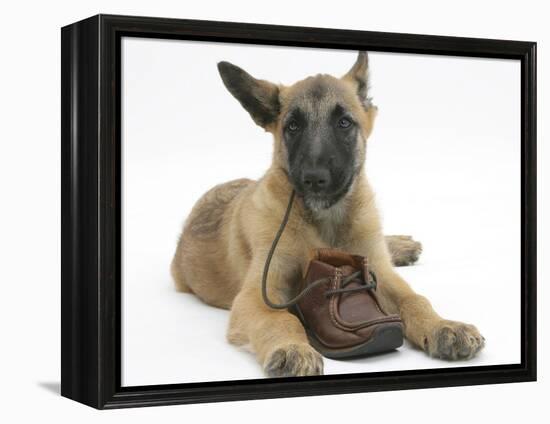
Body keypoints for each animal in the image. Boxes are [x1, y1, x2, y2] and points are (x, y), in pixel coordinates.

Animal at [170, 51, 486, 376]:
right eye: (293, 126)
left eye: (344, 123)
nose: (314, 178)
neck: (325, 221)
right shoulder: (258, 295)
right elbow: (280, 318)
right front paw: (292, 348)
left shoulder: (379, 272)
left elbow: (415, 299)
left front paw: (442, 326)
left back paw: (400, 245)